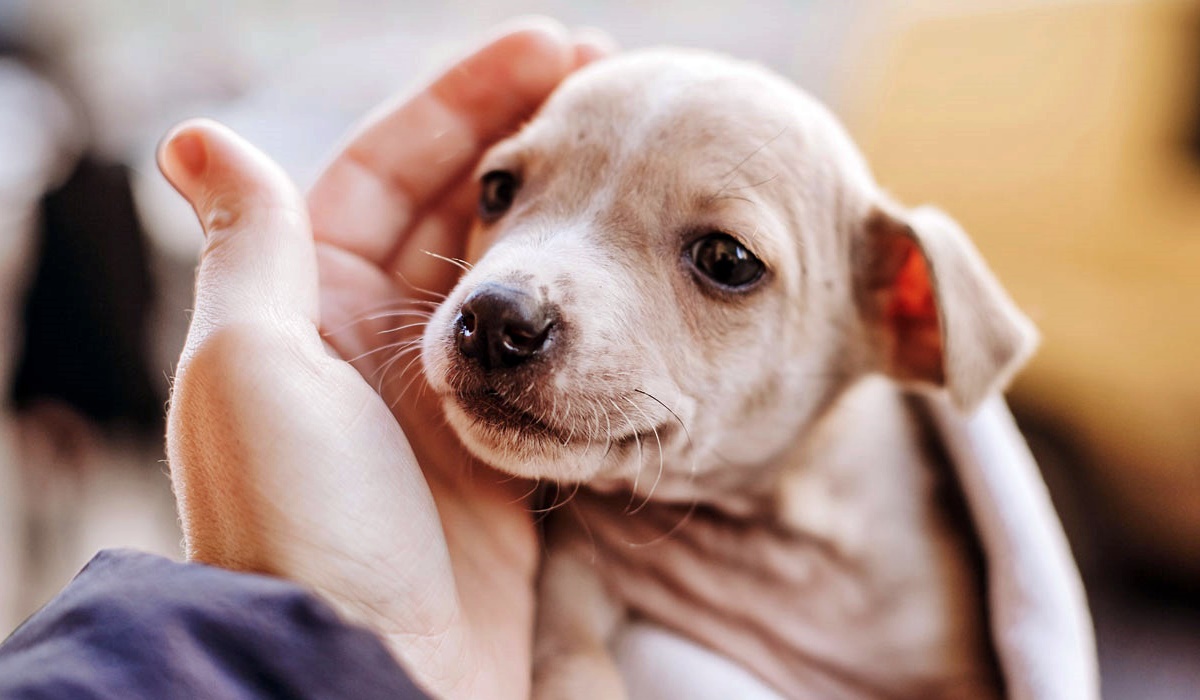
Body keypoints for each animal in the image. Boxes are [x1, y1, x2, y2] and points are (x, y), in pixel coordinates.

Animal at [420, 49, 1032, 700]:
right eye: (496, 189)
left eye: (726, 260)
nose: (493, 319)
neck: (764, 531)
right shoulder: (573, 584)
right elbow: (570, 657)